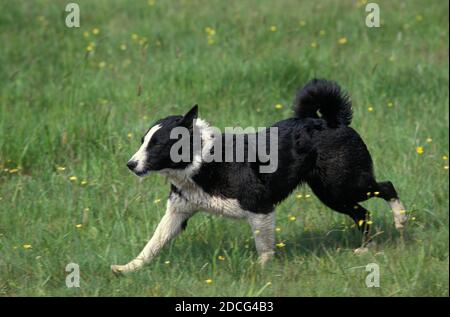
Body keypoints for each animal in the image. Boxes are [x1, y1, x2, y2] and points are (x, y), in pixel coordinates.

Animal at [110, 78, 408, 272]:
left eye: (157, 144)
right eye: (142, 141)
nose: (130, 164)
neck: (201, 161)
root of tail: (332, 121)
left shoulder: (260, 206)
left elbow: (263, 247)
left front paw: (261, 270)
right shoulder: (178, 213)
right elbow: (153, 244)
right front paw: (127, 268)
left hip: (344, 184)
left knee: (387, 187)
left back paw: (401, 219)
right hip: (331, 193)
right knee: (363, 213)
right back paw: (365, 249)